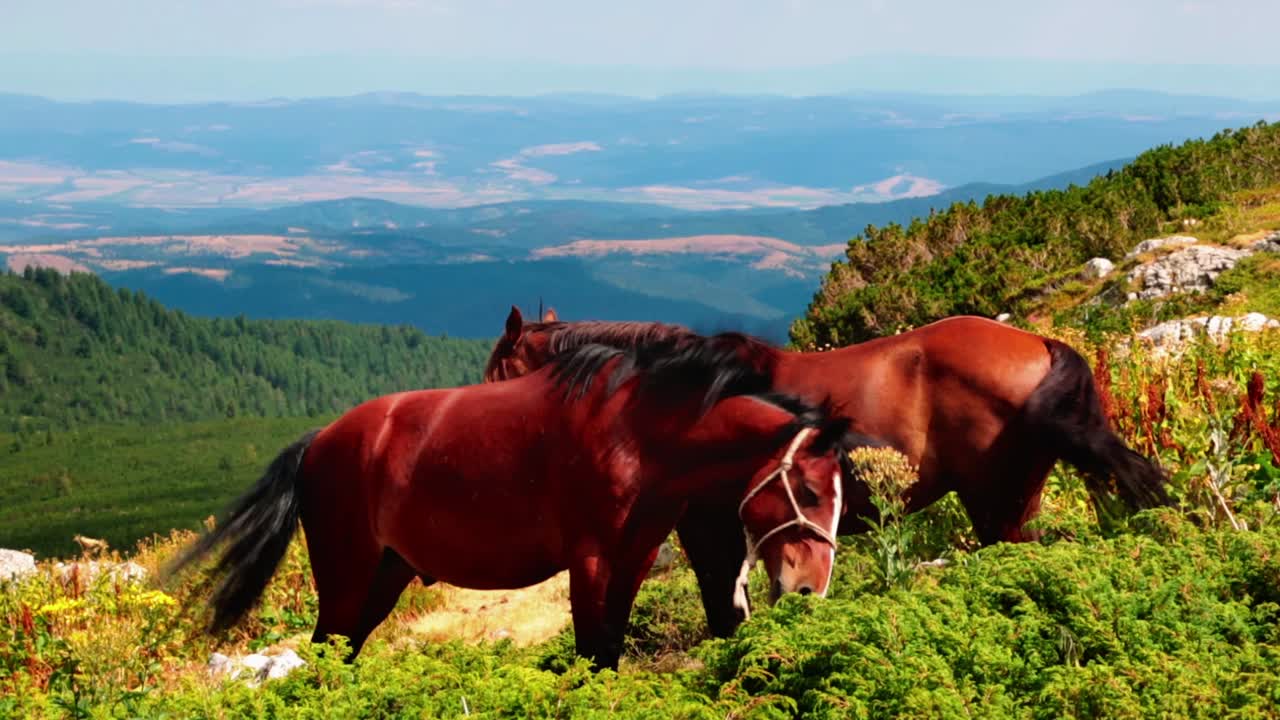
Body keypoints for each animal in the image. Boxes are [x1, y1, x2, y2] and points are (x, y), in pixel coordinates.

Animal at [168, 335, 873, 671]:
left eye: (841, 502)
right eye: (810, 491)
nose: (811, 590)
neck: (637, 431)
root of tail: (320, 441)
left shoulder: (633, 560)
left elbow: (609, 649)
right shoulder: (590, 560)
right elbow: (592, 651)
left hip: (385, 577)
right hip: (346, 576)